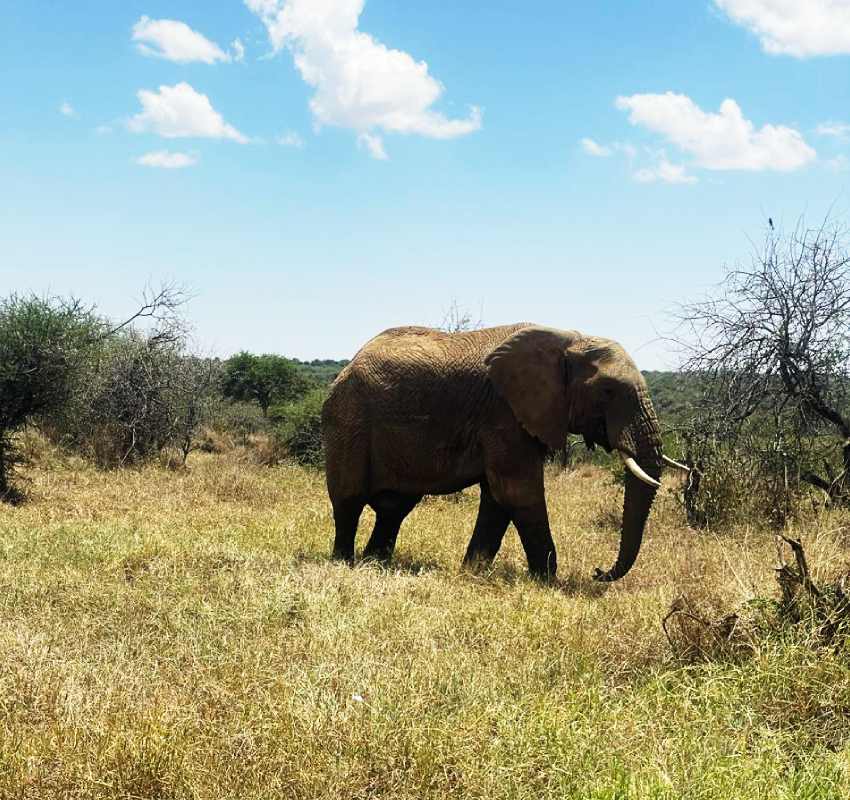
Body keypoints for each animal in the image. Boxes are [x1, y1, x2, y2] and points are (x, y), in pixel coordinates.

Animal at [321, 324, 688, 582]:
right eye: (608, 391)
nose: (598, 572)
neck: (570, 340)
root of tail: (348, 365)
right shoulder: (504, 411)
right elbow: (517, 491)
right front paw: (546, 580)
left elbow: (497, 499)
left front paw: (472, 572)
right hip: (348, 418)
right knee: (349, 500)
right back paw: (344, 562)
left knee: (394, 507)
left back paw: (375, 562)